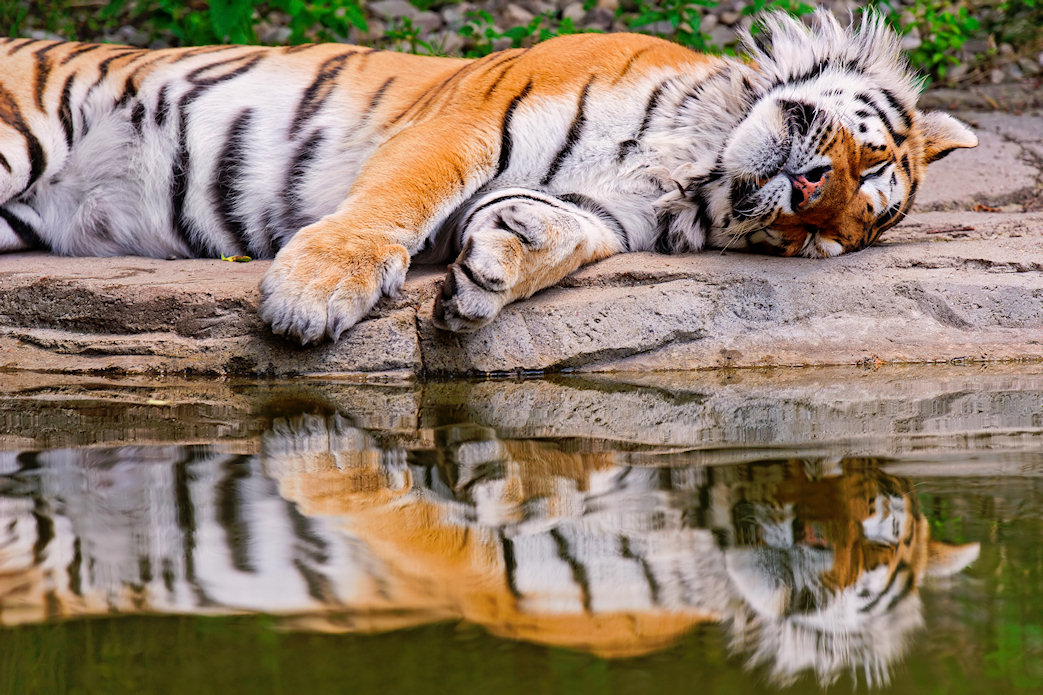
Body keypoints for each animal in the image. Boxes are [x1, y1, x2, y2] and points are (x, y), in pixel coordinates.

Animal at [0, 10, 976, 344]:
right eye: (870, 160)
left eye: (820, 241)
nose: (810, 198)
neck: (691, 164)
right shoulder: (466, 119)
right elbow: (396, 201)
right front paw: (312, 294)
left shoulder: (603, 213)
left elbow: (556, 232)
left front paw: (492, 272)